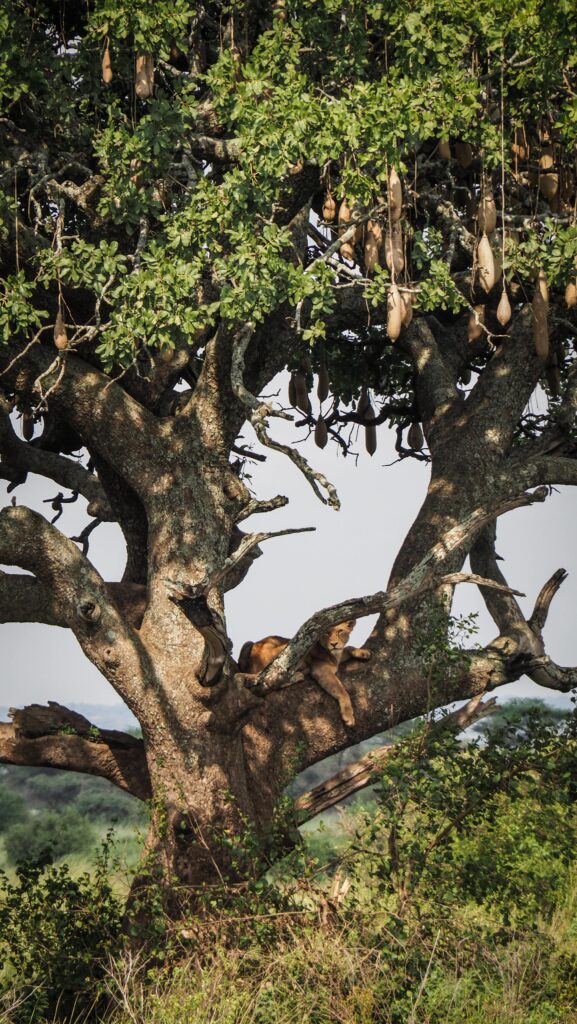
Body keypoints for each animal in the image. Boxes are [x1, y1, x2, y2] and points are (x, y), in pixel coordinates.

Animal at [234, 618, 371, 724]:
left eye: (340, 631)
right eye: (326, 633)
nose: (334, 644)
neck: (333, 654)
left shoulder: (337, 657)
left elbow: (348, 648)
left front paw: (363, 652)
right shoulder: (321, 670)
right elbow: (341, 691)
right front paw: (348, 715)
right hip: (290, 651)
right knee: (267, 680)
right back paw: (298, 675)